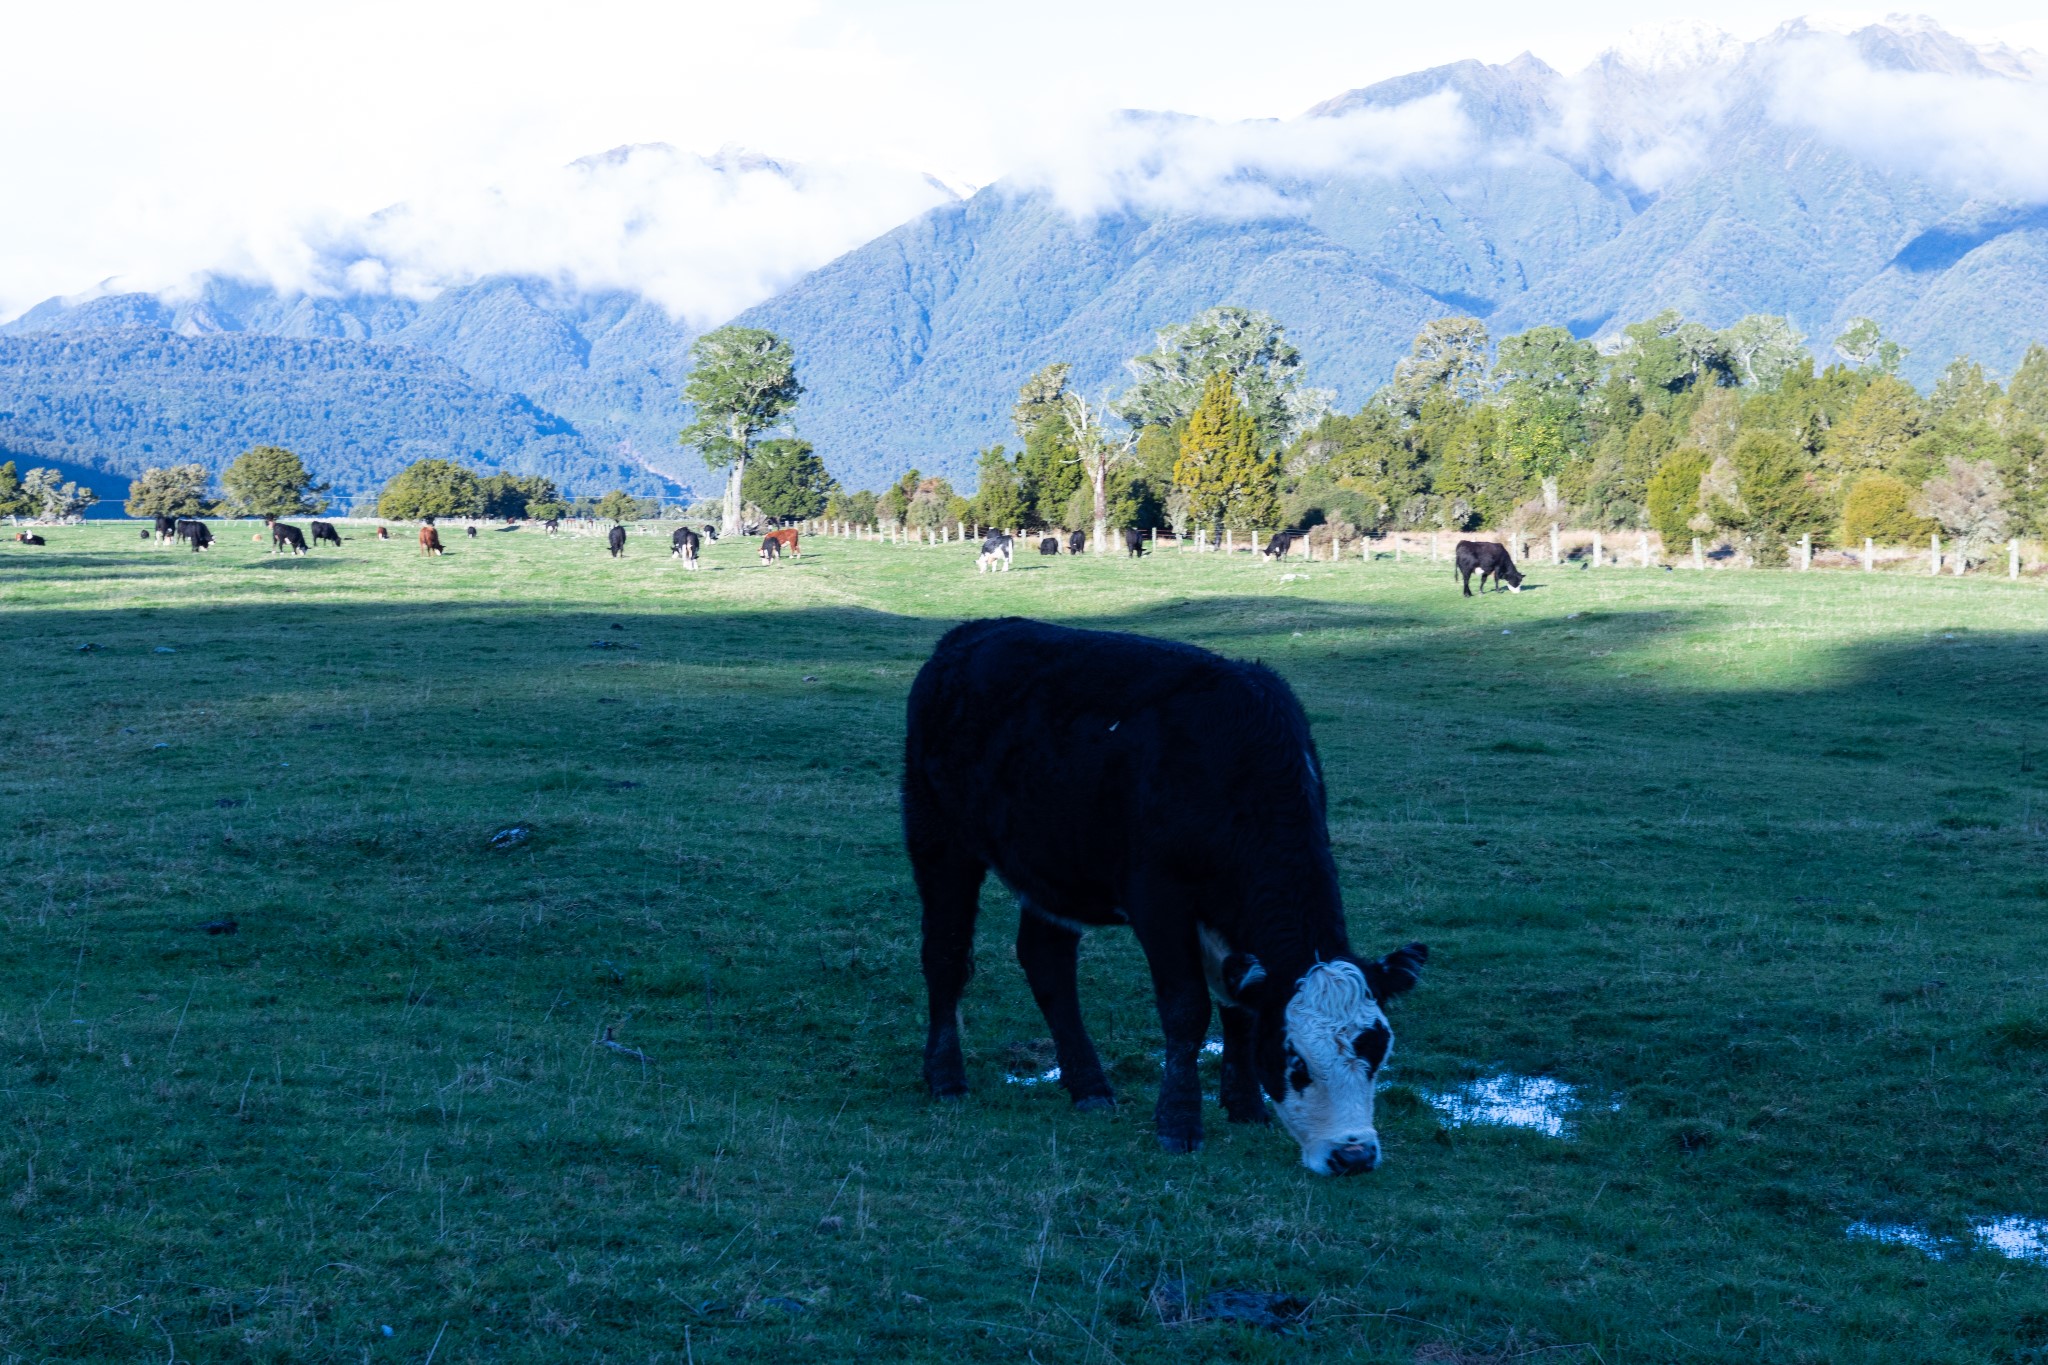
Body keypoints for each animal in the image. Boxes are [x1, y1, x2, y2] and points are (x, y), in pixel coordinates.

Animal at [905, 618, 1433, 1178]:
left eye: (1377, 1052)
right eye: (1296, 1061)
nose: (1353, 1154)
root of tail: (967, 634)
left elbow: (1237, 1007)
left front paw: (1245, 1108)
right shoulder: (1157, 898)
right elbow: (1186, 1007)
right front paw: (1179, 1123)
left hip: (1052, 865)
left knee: (1046, 961)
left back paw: (1089, 1086)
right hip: (938, 837)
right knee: (945, 953)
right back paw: (945, 1077)